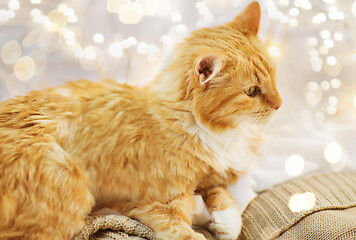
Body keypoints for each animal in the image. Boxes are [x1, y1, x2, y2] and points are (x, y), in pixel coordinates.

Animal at [0, 2, 280, 240]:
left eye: (273, 77)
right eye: (251, 91)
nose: (279, 104)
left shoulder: (211, 175)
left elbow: (223, 195)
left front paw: (226, 222)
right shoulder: (156, 200)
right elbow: (182, 228)